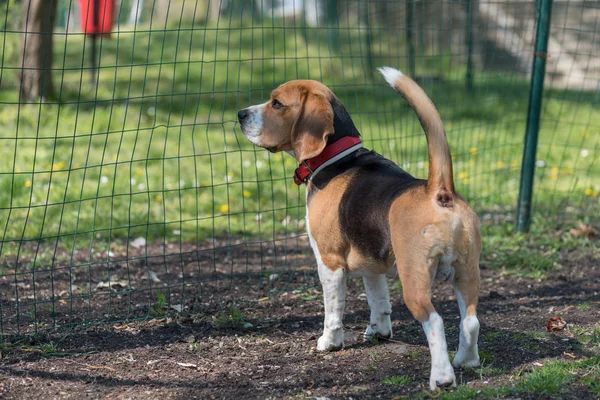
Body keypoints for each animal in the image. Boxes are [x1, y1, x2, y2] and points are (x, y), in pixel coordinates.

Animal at [237, 67, 480, 390]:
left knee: (435, 321)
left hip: (414, 279)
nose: (240, 114)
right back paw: (466, 361)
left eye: (277, 103)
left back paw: (442, 377)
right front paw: (379, 332)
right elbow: (378, 301)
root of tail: (438, 191)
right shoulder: (372, 264)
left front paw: (329, 342)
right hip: (467, 273)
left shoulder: (329, 262)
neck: (337, 158)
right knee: (471, 321)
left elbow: (333, 311)